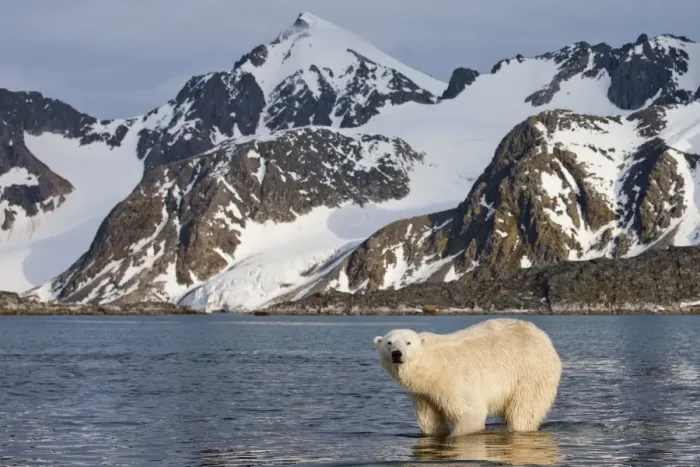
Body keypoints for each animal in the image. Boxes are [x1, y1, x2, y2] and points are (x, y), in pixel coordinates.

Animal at [373, 318, 562, 438]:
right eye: (389, 343)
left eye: (408, 343)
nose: (397, 354)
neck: (432, 369)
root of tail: (544, 337)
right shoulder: (423, 395)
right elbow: (430, 421)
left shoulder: (454, 381)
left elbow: (470, 411)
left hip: (530, 373)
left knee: (524, 411)